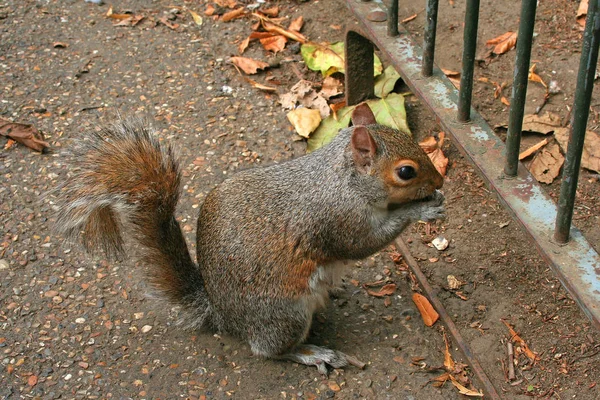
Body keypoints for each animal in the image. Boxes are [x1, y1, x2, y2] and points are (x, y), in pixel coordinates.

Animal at [54, 103, 446, 376]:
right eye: (406, 172)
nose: (440, 181)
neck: (341, 178)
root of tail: (223, 316)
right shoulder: (337, 220)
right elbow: (364, 244)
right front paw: (422, 210)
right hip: (284, 312)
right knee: (268, 349)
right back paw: (311, 352)